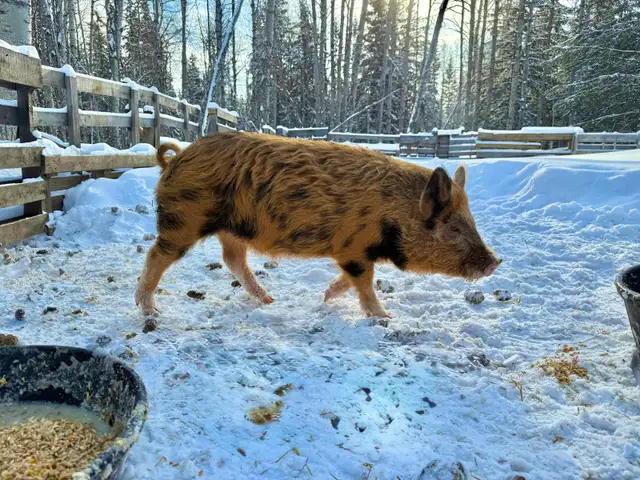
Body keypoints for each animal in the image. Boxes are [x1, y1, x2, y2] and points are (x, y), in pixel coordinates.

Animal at [135, 132, 501, 319]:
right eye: (452, 229)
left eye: (471, 221)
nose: (495, 261)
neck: (393, 212)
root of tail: (175, 158)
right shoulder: (354, 248)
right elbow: (364, 283)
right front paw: (384, 318)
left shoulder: (356, 252)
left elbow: (353, 281)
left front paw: (325, 298)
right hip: (185, 219)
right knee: (157, 255)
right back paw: (150, 311)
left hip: (232, 228)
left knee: (233, 260)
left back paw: (269, 301)